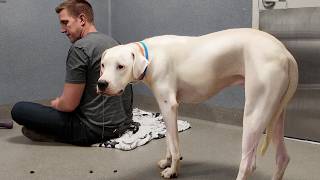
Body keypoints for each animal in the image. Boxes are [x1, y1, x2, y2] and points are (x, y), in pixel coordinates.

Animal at [97, 28, 298, 179]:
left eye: (121, 66)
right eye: (102, 65)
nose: (101, 84)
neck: (150, 57)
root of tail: (285, 53)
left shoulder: (169, 106)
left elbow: (175, 145)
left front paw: (173, 170)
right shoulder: (166, 109)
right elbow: (169, 138)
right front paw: (167, 161)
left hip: (254, 115)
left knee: (248, 164)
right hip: (275, 114)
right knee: (283, 158)